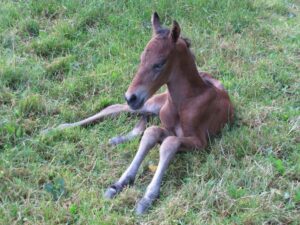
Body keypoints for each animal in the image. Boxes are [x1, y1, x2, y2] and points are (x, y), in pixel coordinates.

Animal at [51, 12, 234, 214]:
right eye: (141, 58)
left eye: (159, 64)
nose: (131, 97)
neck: (186, 100)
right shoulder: (166, 126)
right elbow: (151, 133)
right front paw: (119, 184)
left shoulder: (200, 141)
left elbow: (168, 142)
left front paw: (146, 198)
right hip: (151, 102)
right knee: (115, 109)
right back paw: (58, 129)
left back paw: (116, 139)